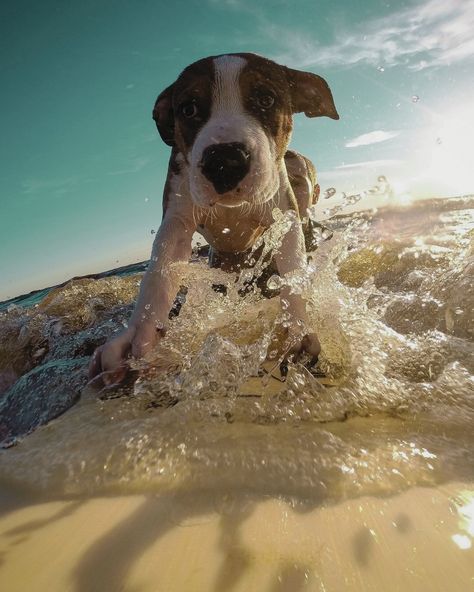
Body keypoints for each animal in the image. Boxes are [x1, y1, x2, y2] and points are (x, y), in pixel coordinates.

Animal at [89, 53, 338, 386]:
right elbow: (158, 274)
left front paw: (295, 329)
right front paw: (139, 336)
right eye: (189, 108)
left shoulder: (283, 214)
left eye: (266, 99)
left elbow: (292, 269)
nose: (225, 160)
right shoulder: (176, 218)